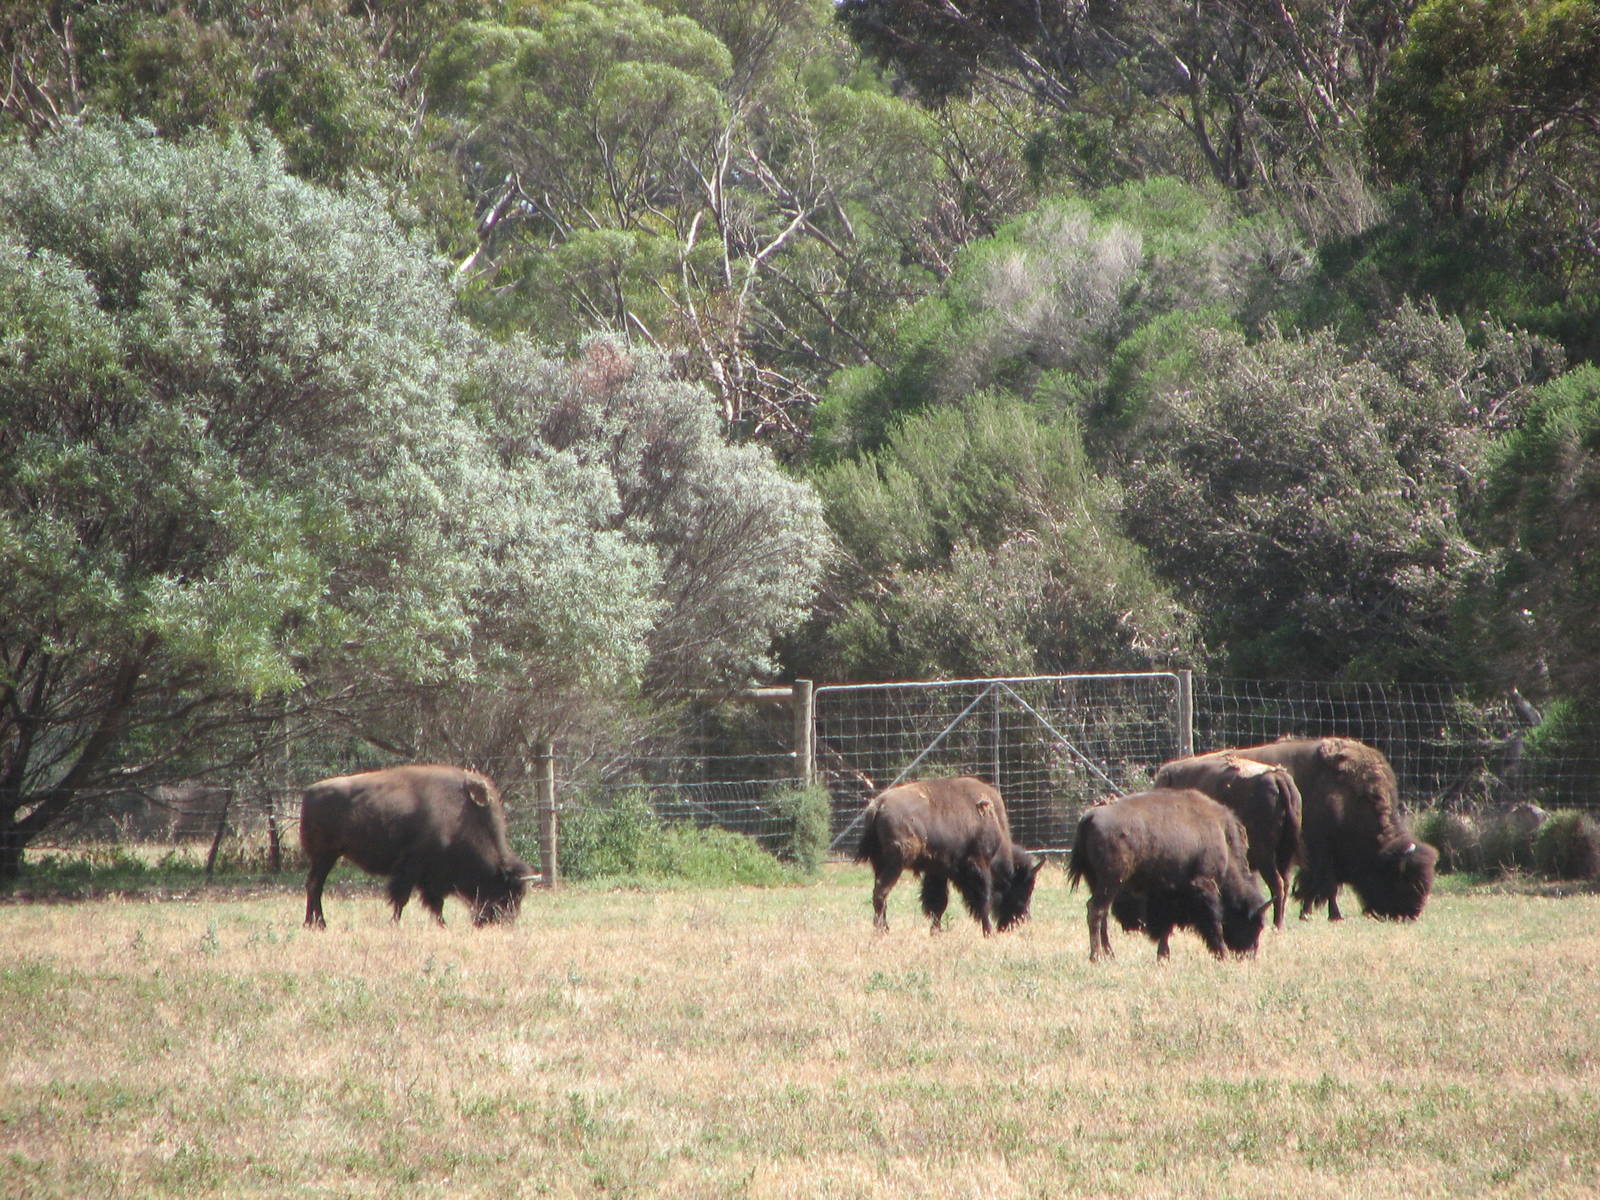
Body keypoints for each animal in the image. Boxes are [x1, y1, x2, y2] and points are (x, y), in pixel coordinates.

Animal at [300, 763, 535, 928]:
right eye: (506, 893)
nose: (502, 922)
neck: (462, 817)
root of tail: (309, 792)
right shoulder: (411, 869)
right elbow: (403, 898)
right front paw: (395, 923)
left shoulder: (430, 878)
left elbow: (435, 903)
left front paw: (442, 924)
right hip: (325, 856)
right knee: (315, 886)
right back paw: (318, 924)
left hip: (326, 857)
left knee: (313, 885)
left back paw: (313, 923)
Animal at [855, 776, 1041, 935]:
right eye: (1023, 890)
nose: (1021, 920)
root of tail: (878, 805)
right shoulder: (979, 864)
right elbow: (983, 899)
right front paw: (988, 932)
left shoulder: (938, 871)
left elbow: (938, 903)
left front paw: (936, 932)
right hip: (895, 864)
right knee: (881, 892)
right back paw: (882, 931)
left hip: (879, 864)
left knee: (879, 893)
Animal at [1068, 788, 1268, 962]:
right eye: (1256, 925)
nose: (1248, 954)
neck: (1222, 839)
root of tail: (1090, 816)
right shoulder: (1205, 884)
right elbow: (1214, 921)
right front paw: (1223, 954)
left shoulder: (1165, 892)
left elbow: (1165, 926)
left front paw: (1163, 957)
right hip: (1111, 881)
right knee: (1096, 910)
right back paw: (1097, 957)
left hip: (1097, 882)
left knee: (1102, 914)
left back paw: (1110, 955)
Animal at [1154, 752, 1303, 929]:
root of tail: (1278, 777)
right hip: (1284, 853)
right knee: (1285, 882)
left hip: (1265, 855)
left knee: (1277, 884)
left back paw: (1276, 926)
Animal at [1230, 737, 1437, 920]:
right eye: (1404, 880)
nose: (1412, 913)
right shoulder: (1321, 853)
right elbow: (1327, 885)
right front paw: (1333, 916)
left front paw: (1307, 913)